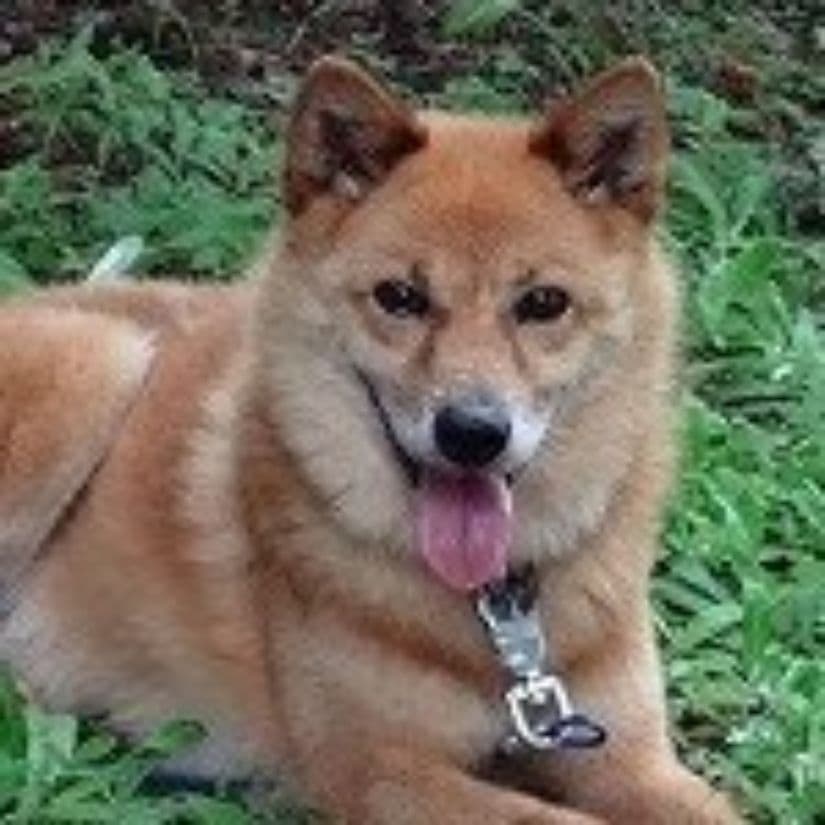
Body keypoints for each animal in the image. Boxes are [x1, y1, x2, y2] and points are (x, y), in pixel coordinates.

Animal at [0, 56, 740, 823]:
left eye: (543, 304)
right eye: (399, 297)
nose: (472, 432)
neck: (498, 615)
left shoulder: (627, 756)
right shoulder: (380, 768)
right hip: (98, 360)